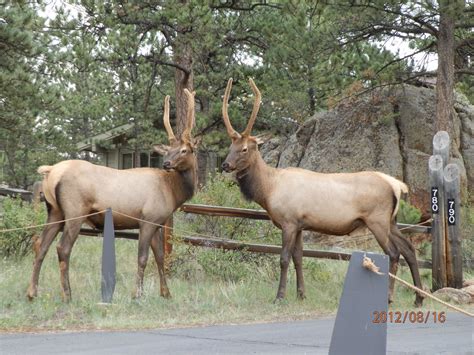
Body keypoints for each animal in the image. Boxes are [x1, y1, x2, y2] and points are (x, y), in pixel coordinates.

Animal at [27, 89, 198, 304]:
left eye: (183, 150)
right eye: (168, 150)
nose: (166, 163)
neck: (172, 191)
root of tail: (50, 171)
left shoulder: (158, 222)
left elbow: (160, 256)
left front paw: (166, 293)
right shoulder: (147, 219)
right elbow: (143, 257)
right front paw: (137, 294)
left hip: (55, 211)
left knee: (40, 245)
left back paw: (32, 292)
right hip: (75, 211)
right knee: (62, 248)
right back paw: (67, 294)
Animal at [220, 79, 424, 308]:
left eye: (245, 149)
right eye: (231, 146)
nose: (225, 164)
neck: (269, 190)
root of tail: (397, 185)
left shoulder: (289, 222)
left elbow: (283, 258)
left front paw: (280, 296)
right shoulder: (300, 224)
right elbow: (299, 258)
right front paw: (301, 294)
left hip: (377, 219)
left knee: (393, 253)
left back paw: (389, 298)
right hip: (392, 221)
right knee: (409, 249)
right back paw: (419, 298)